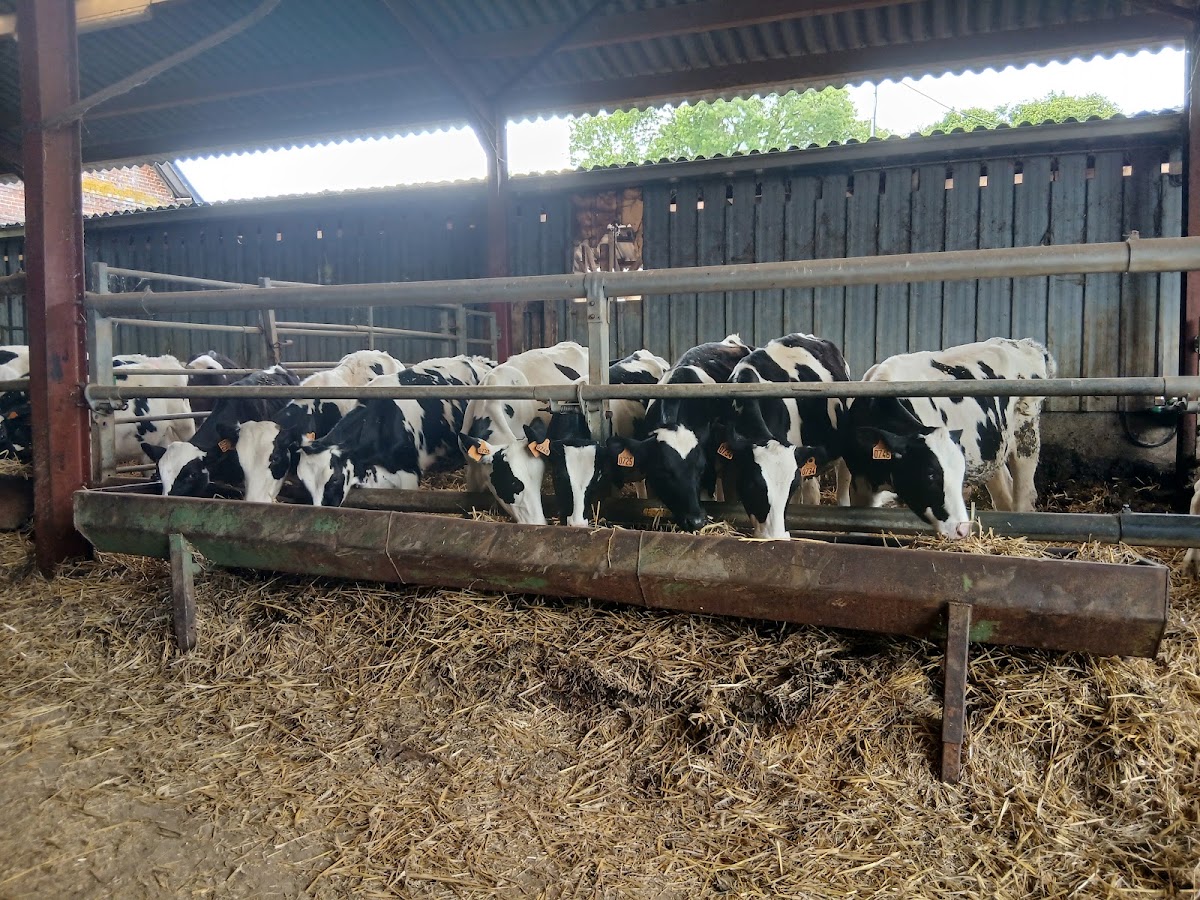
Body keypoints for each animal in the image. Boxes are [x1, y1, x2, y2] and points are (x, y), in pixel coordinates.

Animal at [840, 337, 1055, 540]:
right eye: (930, 474)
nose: (962, 529)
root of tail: (1025, 344)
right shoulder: (860, 483)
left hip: (1026, 433)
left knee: (1024, 495)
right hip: (993, 451)